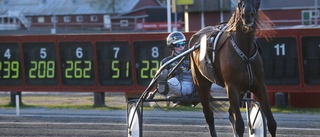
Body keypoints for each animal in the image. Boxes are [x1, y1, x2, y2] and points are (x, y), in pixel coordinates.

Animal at [189, 0, 276, 137]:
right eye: (239, 1)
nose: (247, 15)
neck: (245, 50)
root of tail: (196, 36)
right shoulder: (232, 87)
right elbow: (239, 125)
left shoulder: (259, 86)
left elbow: (272, 123)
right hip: (201, 83)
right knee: (209, 115)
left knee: (230, 113)